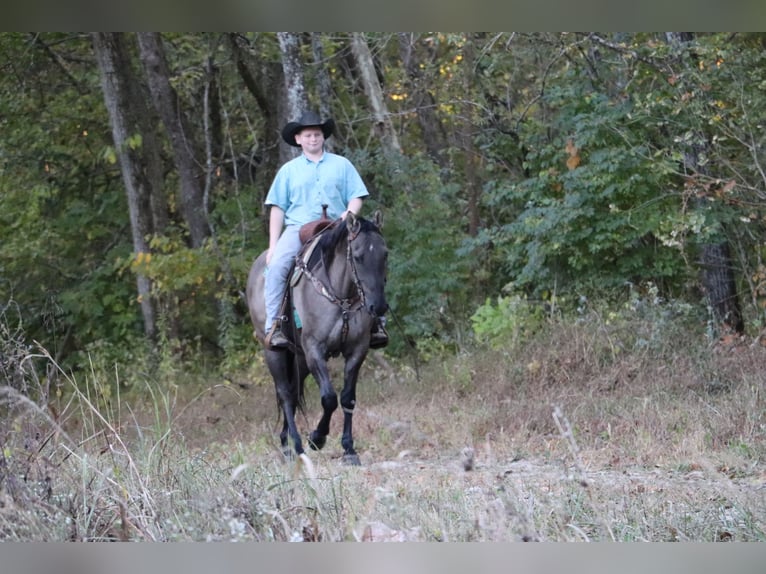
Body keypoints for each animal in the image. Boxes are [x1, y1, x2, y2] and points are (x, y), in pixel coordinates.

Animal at [248, 212, 390, 468]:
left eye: (385, 254)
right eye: (358, 256)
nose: (379, 306)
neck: (341, 295)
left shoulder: (357, 350)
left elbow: (348, 399)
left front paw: (349, 450)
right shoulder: (315, 349)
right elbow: (329, 398)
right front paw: (317, 438)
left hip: (300, 358)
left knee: (293, 393)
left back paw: (286, 443)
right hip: (273, 351)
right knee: (285, 394)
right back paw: (295, 447)